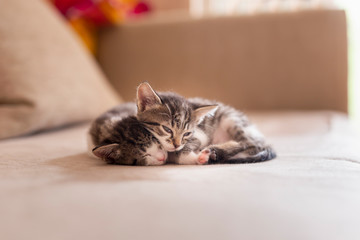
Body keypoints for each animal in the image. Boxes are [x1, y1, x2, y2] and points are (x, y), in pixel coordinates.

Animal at [135, 83, 276, 165]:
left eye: (187, 133)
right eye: (167, 129)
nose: (177, 145)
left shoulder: (200, 134)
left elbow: (184, 152)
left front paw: (199, 157)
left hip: (232, 120)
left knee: (248, 144)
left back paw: (216, 153)